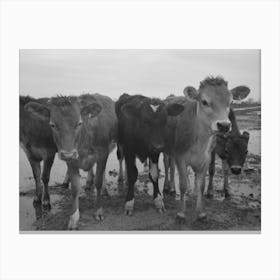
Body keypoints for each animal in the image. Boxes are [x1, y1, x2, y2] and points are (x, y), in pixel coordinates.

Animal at [25, 94, 117, 230]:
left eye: (79, 123)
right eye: (52, 125)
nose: (67, 154)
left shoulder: (103, 154)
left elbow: (98, 182)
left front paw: (98, 211)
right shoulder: (72, 162)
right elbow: (74, 188)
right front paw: (73, 218)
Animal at [163, 75, 250, 222]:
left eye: (231, 101)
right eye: (204, 101)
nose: (224, 125)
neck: (199, 142)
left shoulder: (206, 157)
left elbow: (201, 185)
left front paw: (201, 212)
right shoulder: (180, 156)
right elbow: (182, 184)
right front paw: (181, 213)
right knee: (167, 165)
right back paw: (168, 187)